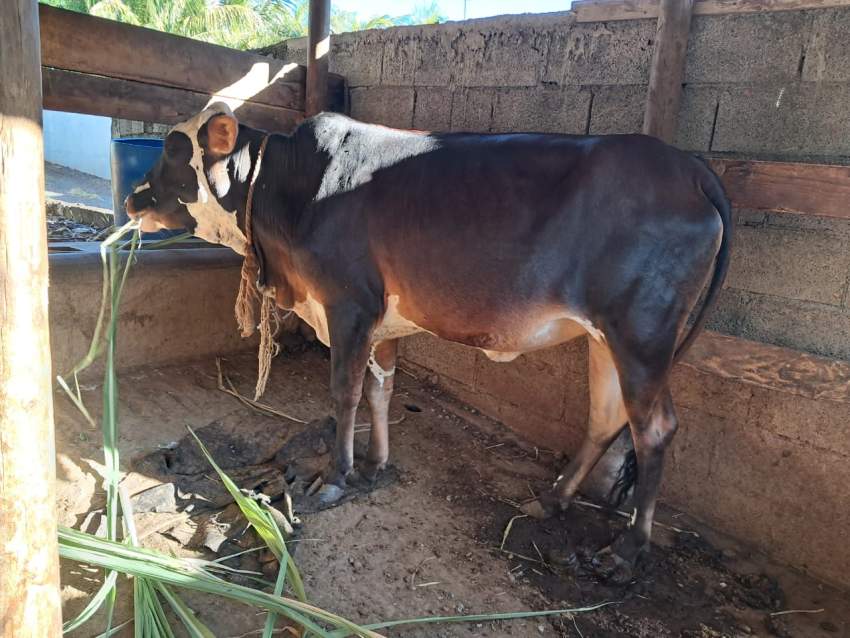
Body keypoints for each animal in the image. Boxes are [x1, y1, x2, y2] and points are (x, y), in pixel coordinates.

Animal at [124, 101, 728, 584]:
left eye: (174, 150)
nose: (133, 198)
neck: (291, 192)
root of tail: (688, 167)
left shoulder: (350, 304)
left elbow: (345, 394)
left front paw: (337, 477)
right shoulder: (382, 323)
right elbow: (380, 390)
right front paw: (375, 464)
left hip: (642, 334)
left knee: (654, 429)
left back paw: (626, 551)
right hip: (605, 337)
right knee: (605, 416)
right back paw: (552, 499)